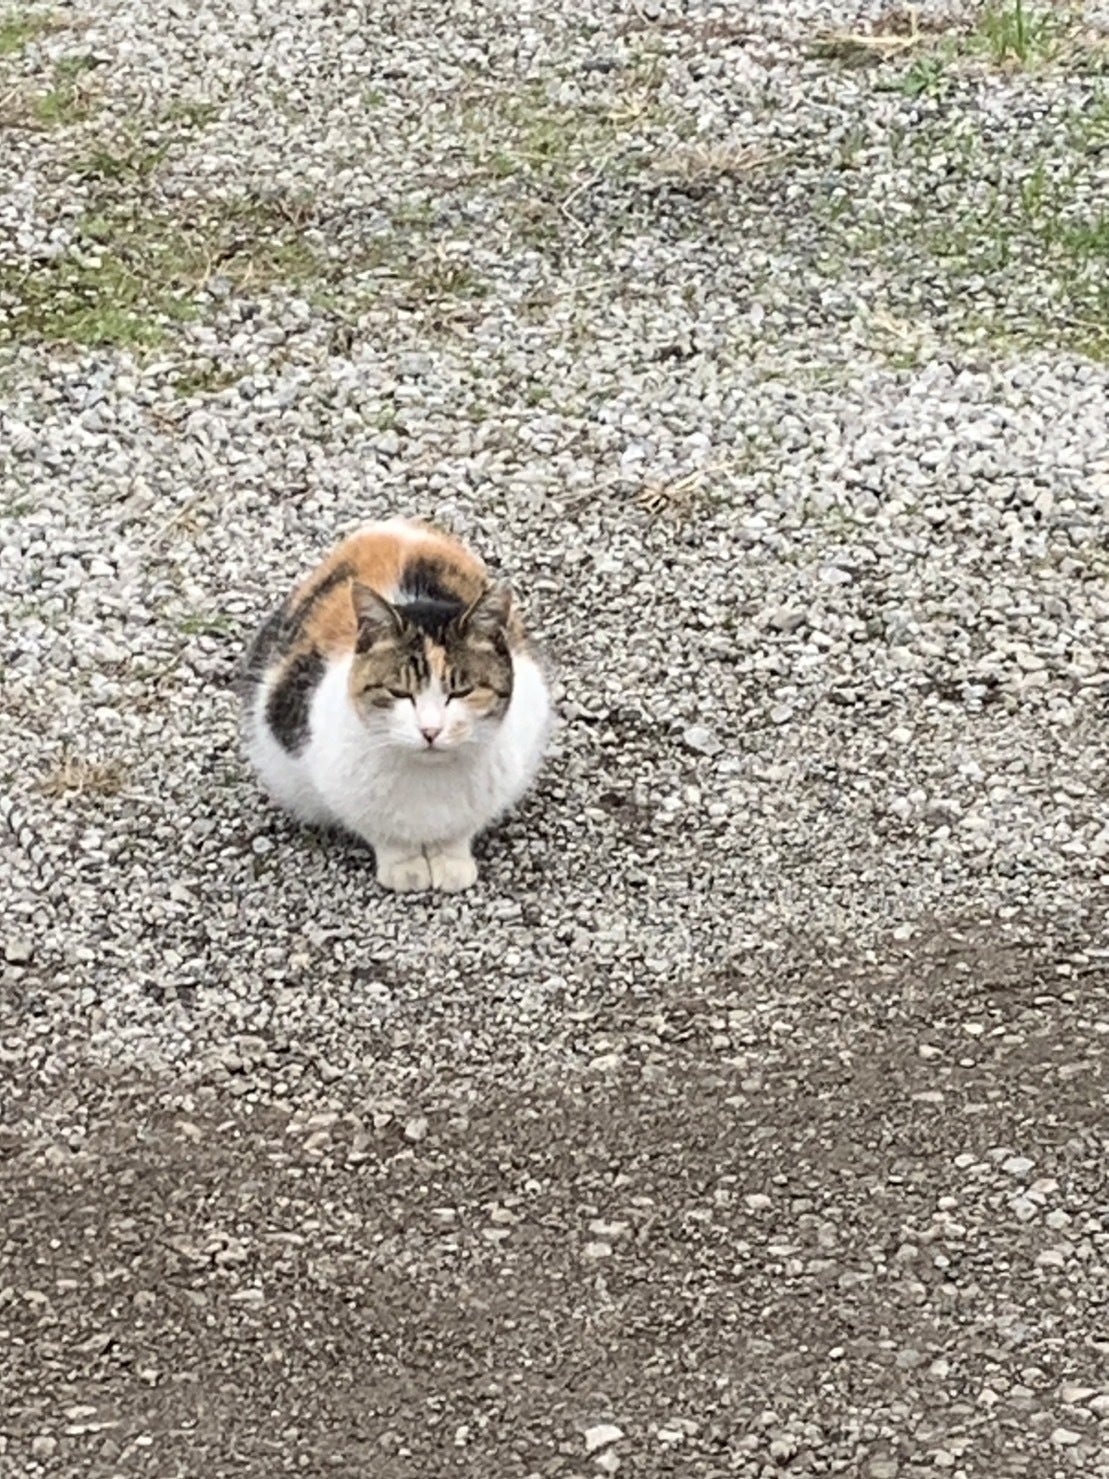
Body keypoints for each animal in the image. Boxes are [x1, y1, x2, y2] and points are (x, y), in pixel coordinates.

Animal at [238, 517, 551, 893]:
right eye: (400, 692)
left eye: (461, 692)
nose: (430, 730)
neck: (428, 782)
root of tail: (392, 526)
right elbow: (383, 833)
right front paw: (405, 868)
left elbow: (459, 830)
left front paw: (451, 862)